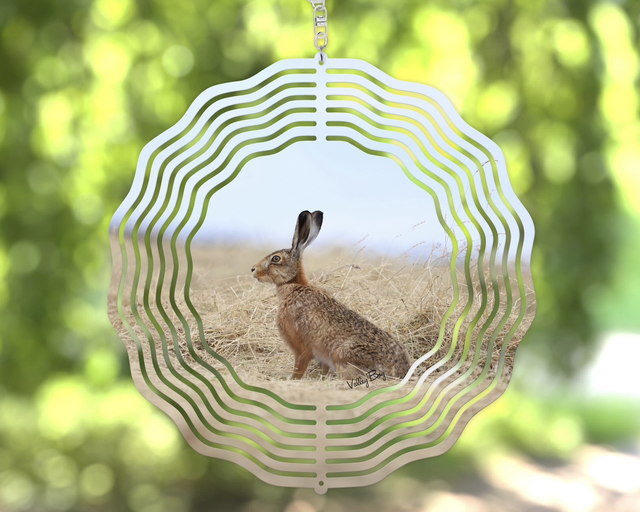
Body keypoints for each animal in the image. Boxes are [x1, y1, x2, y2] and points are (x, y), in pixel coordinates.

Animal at [251, 210, 411, 381]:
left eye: (276, 258)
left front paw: (292, 380)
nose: (253, 269)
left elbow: (299, 366)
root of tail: (400, 372)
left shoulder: (302, 348)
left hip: (341, 354)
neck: (293, 284)